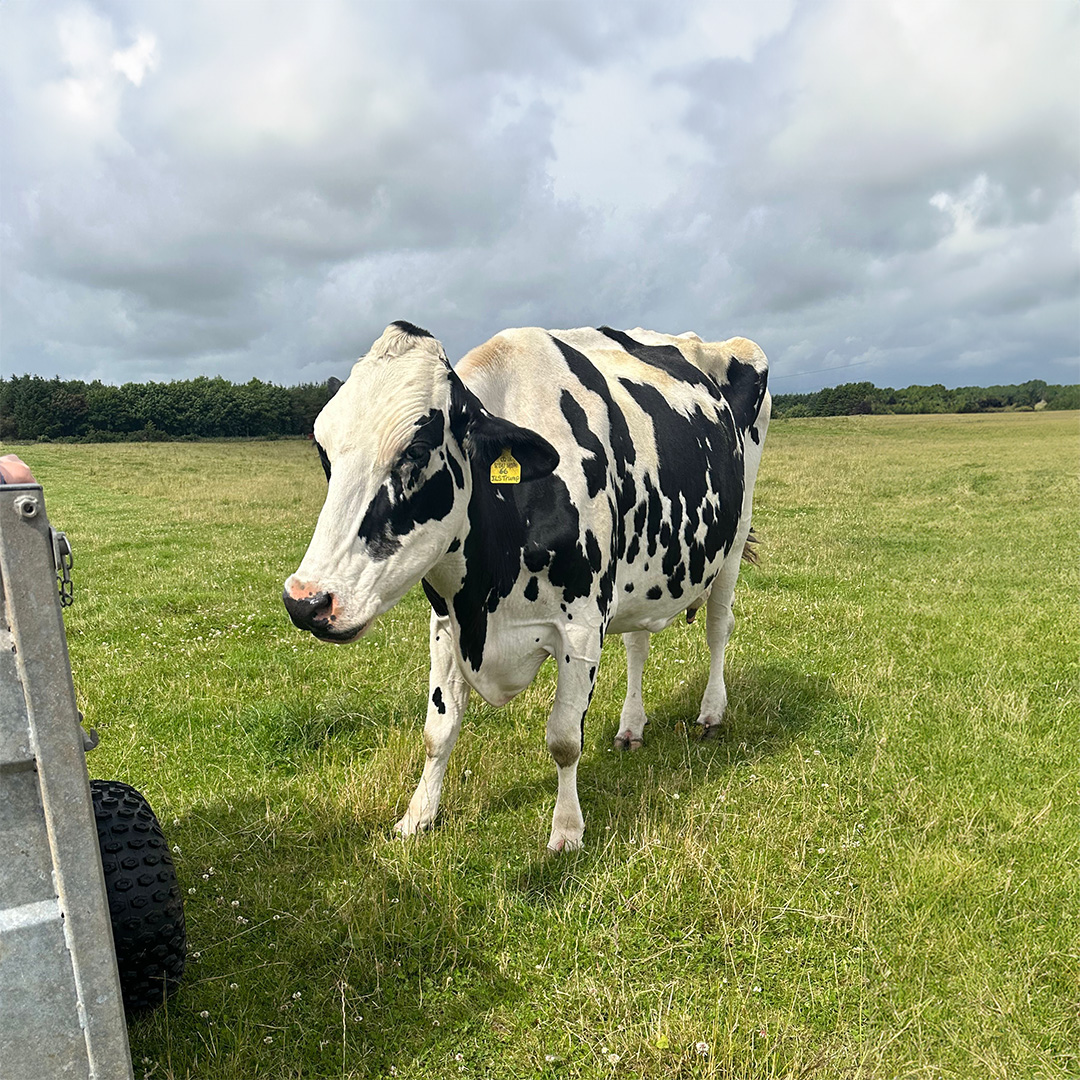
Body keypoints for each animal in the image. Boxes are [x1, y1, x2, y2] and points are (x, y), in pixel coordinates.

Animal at [284, 321, 769, 852]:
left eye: (415, 451)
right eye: (323, 451)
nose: (306, 601)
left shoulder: (581, 626)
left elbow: (564, 739)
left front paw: (567, 830)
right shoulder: (446, 622)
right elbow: (438, 729)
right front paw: (418, 816)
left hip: (735, 535)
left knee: (719, 627)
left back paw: (711, 713)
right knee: (638, 643)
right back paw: (631, 726)